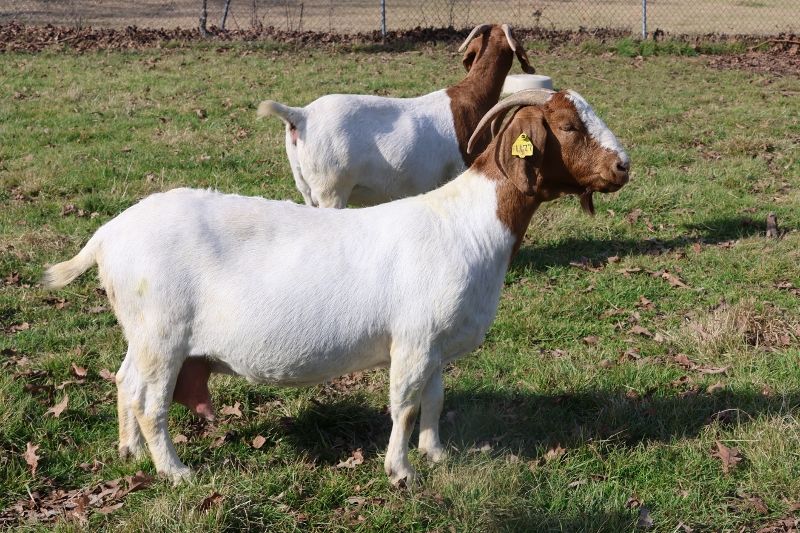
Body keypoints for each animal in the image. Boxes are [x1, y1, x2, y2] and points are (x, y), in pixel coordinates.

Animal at [43, 89, 629, 485]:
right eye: (568, 126)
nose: (623, 166)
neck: (467, 222)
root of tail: (108, 235)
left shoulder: (436, 343)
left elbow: (434, 400)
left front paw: (438, 455)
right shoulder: (413, 338)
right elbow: (405, 404)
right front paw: (401, 471)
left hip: (141, 332)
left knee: (124, 382)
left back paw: (129, 453)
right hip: (163, 334)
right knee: (150, 403)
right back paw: (175, 470)